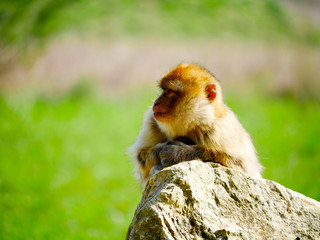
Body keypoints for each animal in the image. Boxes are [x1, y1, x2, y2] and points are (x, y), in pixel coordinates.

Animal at [129, 63, 264, 186]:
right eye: (164, 90)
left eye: (170, 91)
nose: (156, 102)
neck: (194, 121)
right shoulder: (151, 120)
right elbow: (140, 155)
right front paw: (160, 149)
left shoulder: (221, 128)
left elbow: (241, 166)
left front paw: (180, 152)